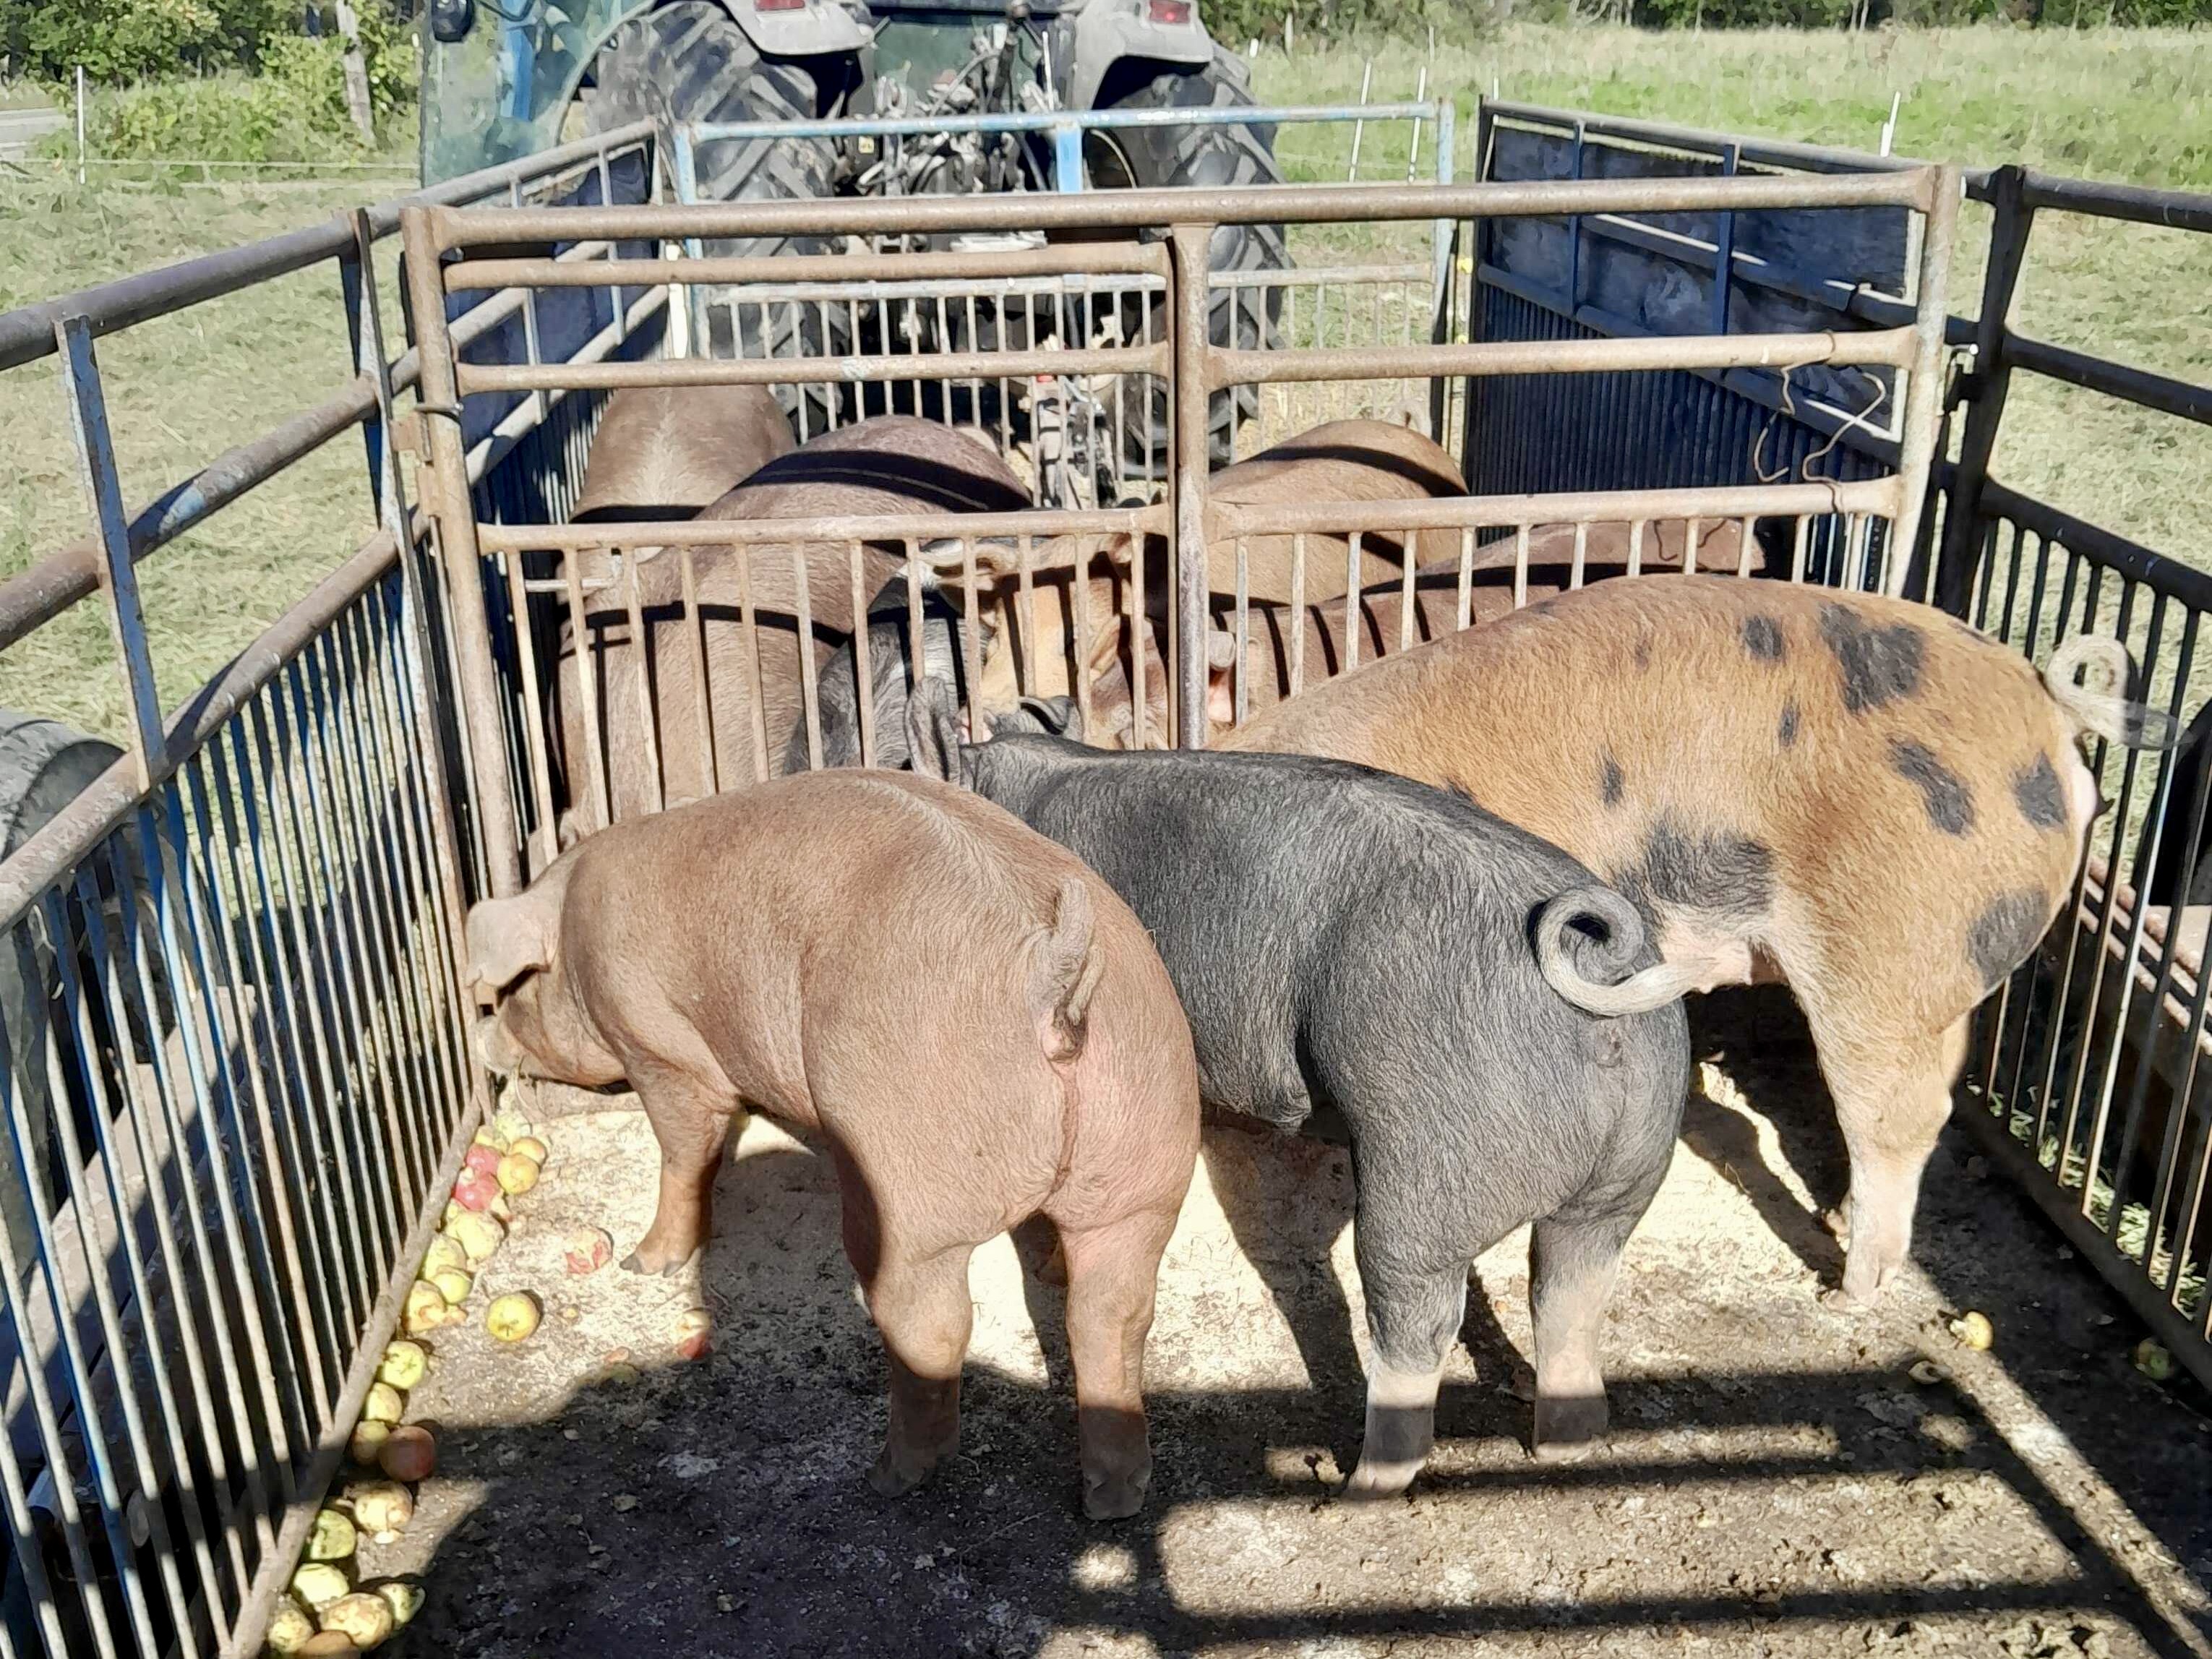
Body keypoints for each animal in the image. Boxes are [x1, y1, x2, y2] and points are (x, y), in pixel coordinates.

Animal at [464, 771, 1200, 1518]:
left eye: (515, 989)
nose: (480, 1038)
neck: (575, 934)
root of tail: (1052, 974)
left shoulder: (662, 1050)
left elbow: (683, 1151)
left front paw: (644, 1264)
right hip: (1147, 1155)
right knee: (1112, 1314)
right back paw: (1112, 1499)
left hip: (907, 1181)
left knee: (933, 1324)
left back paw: (888, 1477)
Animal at [906, 682, 1697, 1491]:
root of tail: (1600, 980)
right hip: (1633, 1165)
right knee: (1572, 1291)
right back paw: (1563, 1452)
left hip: (1429, 1159)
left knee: (1417, 1317)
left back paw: (1355, 1488)